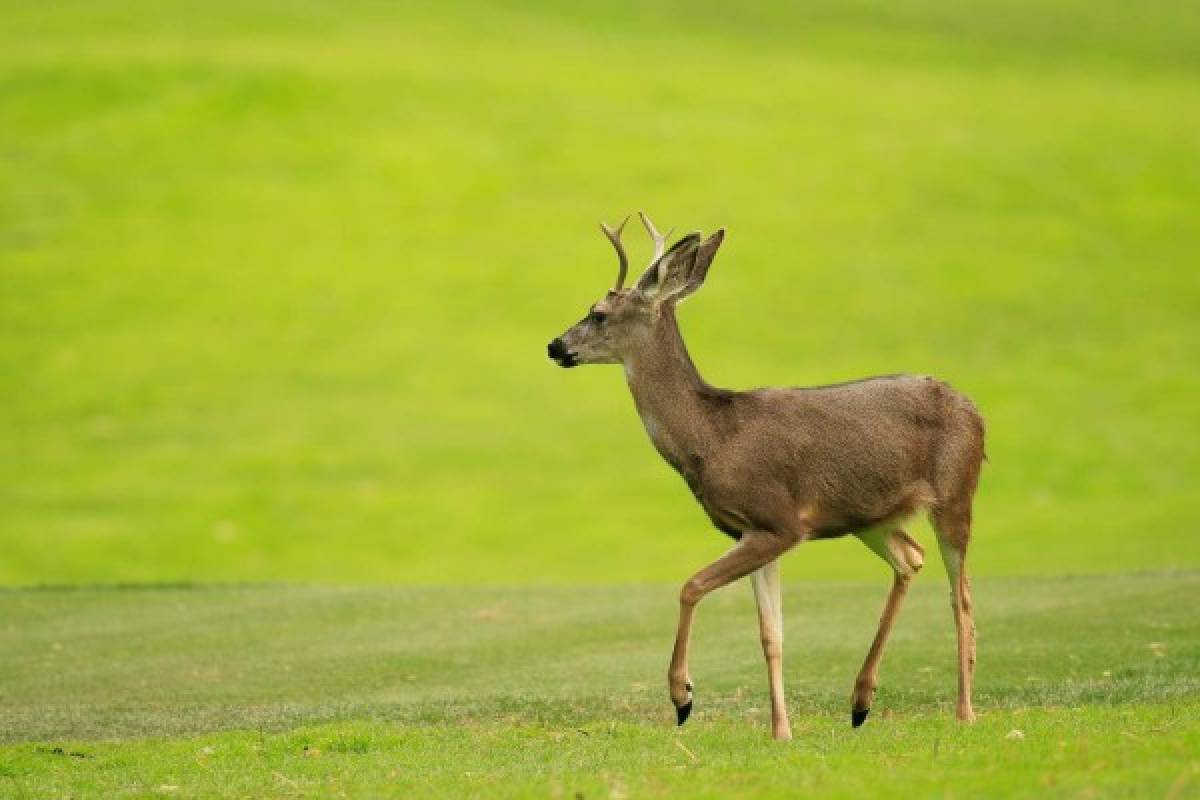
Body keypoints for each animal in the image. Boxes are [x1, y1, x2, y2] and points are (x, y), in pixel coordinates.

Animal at [544, 211, 984, 738]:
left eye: (599, 313)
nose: (554, 346)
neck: (713, 437)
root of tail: (976, 411)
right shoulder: (752, 530)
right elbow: (771, 634)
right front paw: (781, 731)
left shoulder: (778, 520)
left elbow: (691, 586)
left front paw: (682, 696)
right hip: (871, 518)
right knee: (910, 559)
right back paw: (860, 702)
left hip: (956, 493)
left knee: (961, 598)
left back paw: (964, 711)